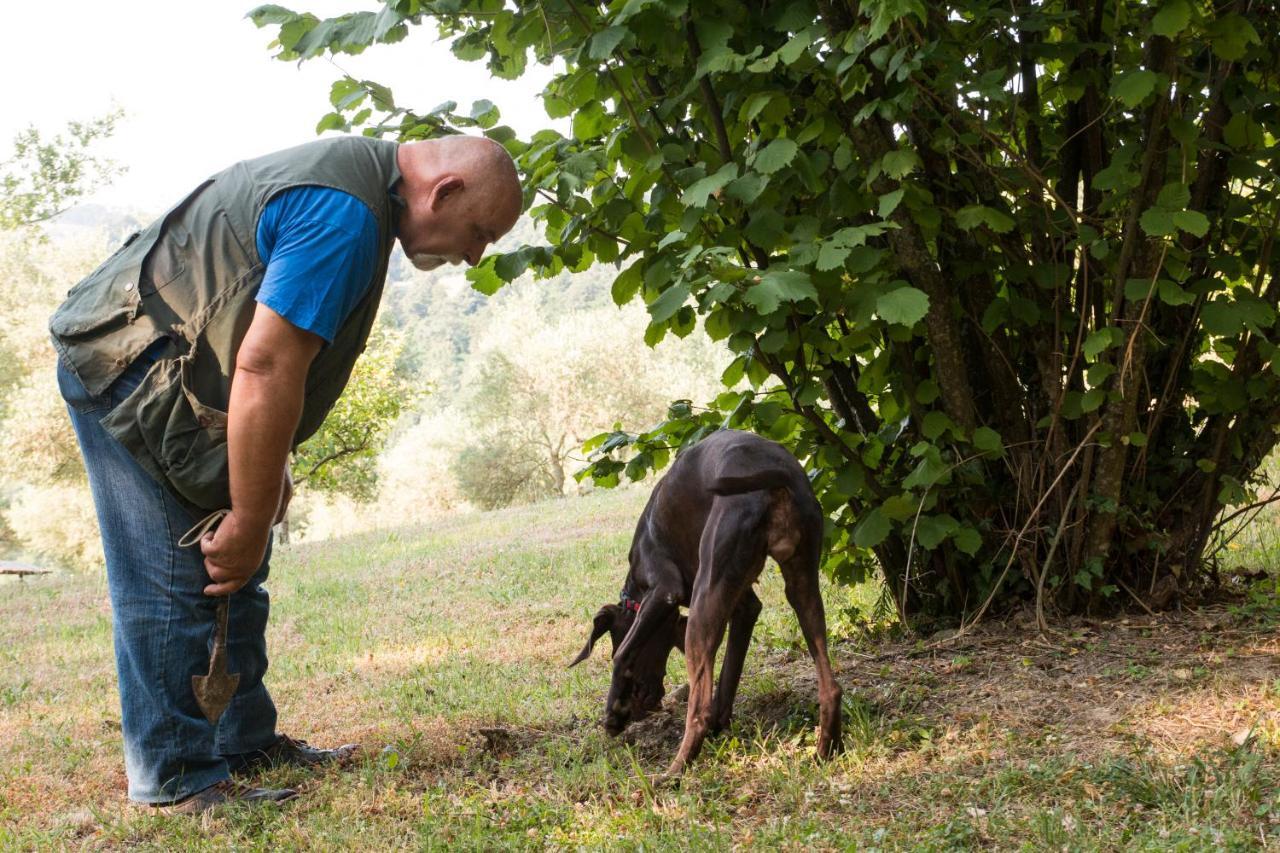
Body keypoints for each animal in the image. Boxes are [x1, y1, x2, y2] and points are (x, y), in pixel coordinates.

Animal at [570, 427, 839, 773]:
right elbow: (729, 672)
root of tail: (779, 479)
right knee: (830, 686)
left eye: (614, 639)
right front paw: (721, 725)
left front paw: (613, 713)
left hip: (704, 600)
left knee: (699, 711)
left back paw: (671, 773)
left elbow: (623, 654)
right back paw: (826, 750)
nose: (641, 708)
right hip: (801, 582)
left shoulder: (664, 591)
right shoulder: (744, 607)